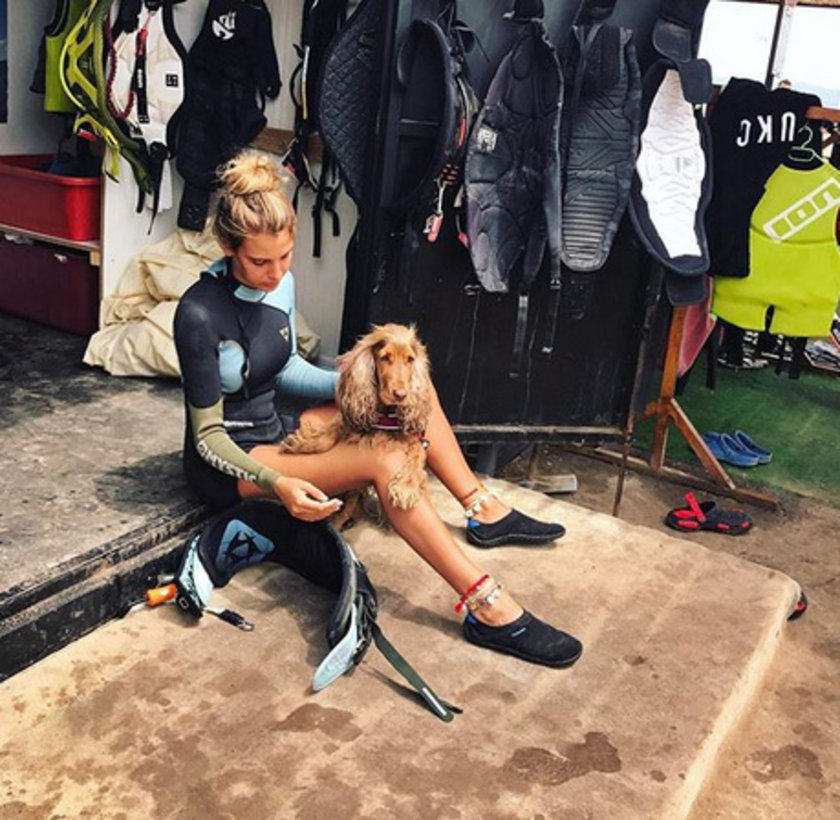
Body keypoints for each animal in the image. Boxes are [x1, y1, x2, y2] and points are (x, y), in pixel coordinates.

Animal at [280, 323, 432, 512]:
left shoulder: (415, 437)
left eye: (410, 359)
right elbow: (330, 432)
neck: (384, 412)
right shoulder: (350, 419)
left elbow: (418, 454)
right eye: (385, 357)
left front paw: (407, 486)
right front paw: (302, 442)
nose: (401, 395)